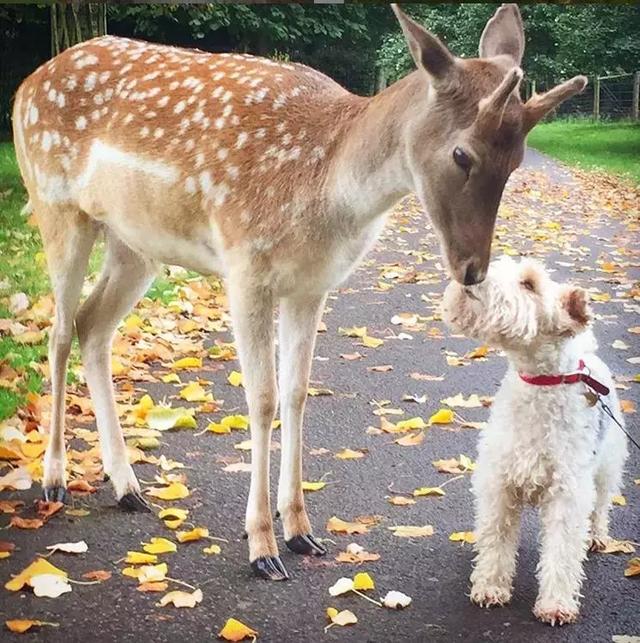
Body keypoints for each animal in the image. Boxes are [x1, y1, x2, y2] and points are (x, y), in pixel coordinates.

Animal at [12, 3, 588, 580]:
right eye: (462, 154)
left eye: (517, 161)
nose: (471, 270)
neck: (327, 190)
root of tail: (25, 86)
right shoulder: (244, 265)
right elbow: (262, 398)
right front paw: (262, 548)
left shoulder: (311, 286)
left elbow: (297, 392)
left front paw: (301, 532)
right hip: (54, 205)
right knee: (58, 332)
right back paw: (55, 480)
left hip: (135, 245)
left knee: (92, 326)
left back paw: (127, 487)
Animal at [442, 258, 628, 628]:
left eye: (529, 283)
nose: (470, 276)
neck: (540, 385)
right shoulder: (498, 485)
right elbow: (496, 542)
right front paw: (490, 588)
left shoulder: (567, 494)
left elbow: (561, 552)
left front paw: (555, 605)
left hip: (606, 468)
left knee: (601, 506)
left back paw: (597, 537)